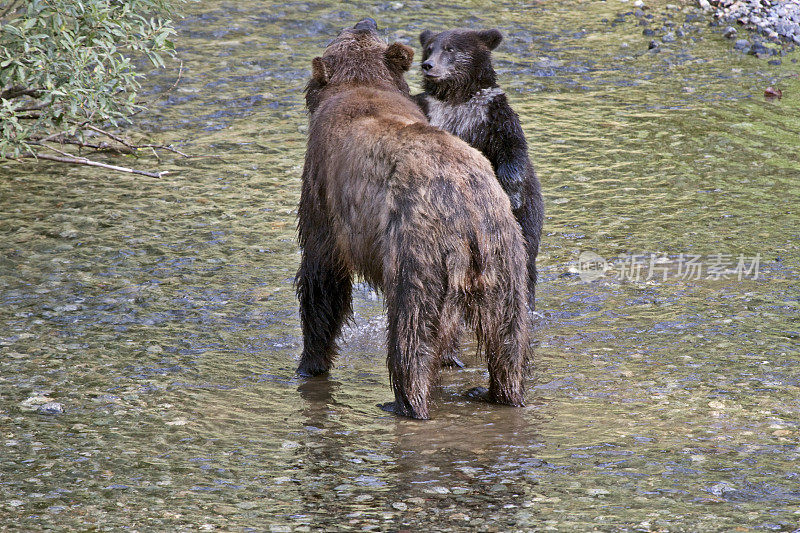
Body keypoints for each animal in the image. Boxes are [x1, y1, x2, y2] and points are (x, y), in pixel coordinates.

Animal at [294, 18, 532, 420]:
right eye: (362, 29)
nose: (366, 20)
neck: (361, 87)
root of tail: (467, 207)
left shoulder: (324, 191)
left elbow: (321, 275)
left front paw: (311, 362)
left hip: (416, 249)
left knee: (412, 328)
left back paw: (404, 401)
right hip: (506, 255)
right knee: (508, 338)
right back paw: (501, 392)